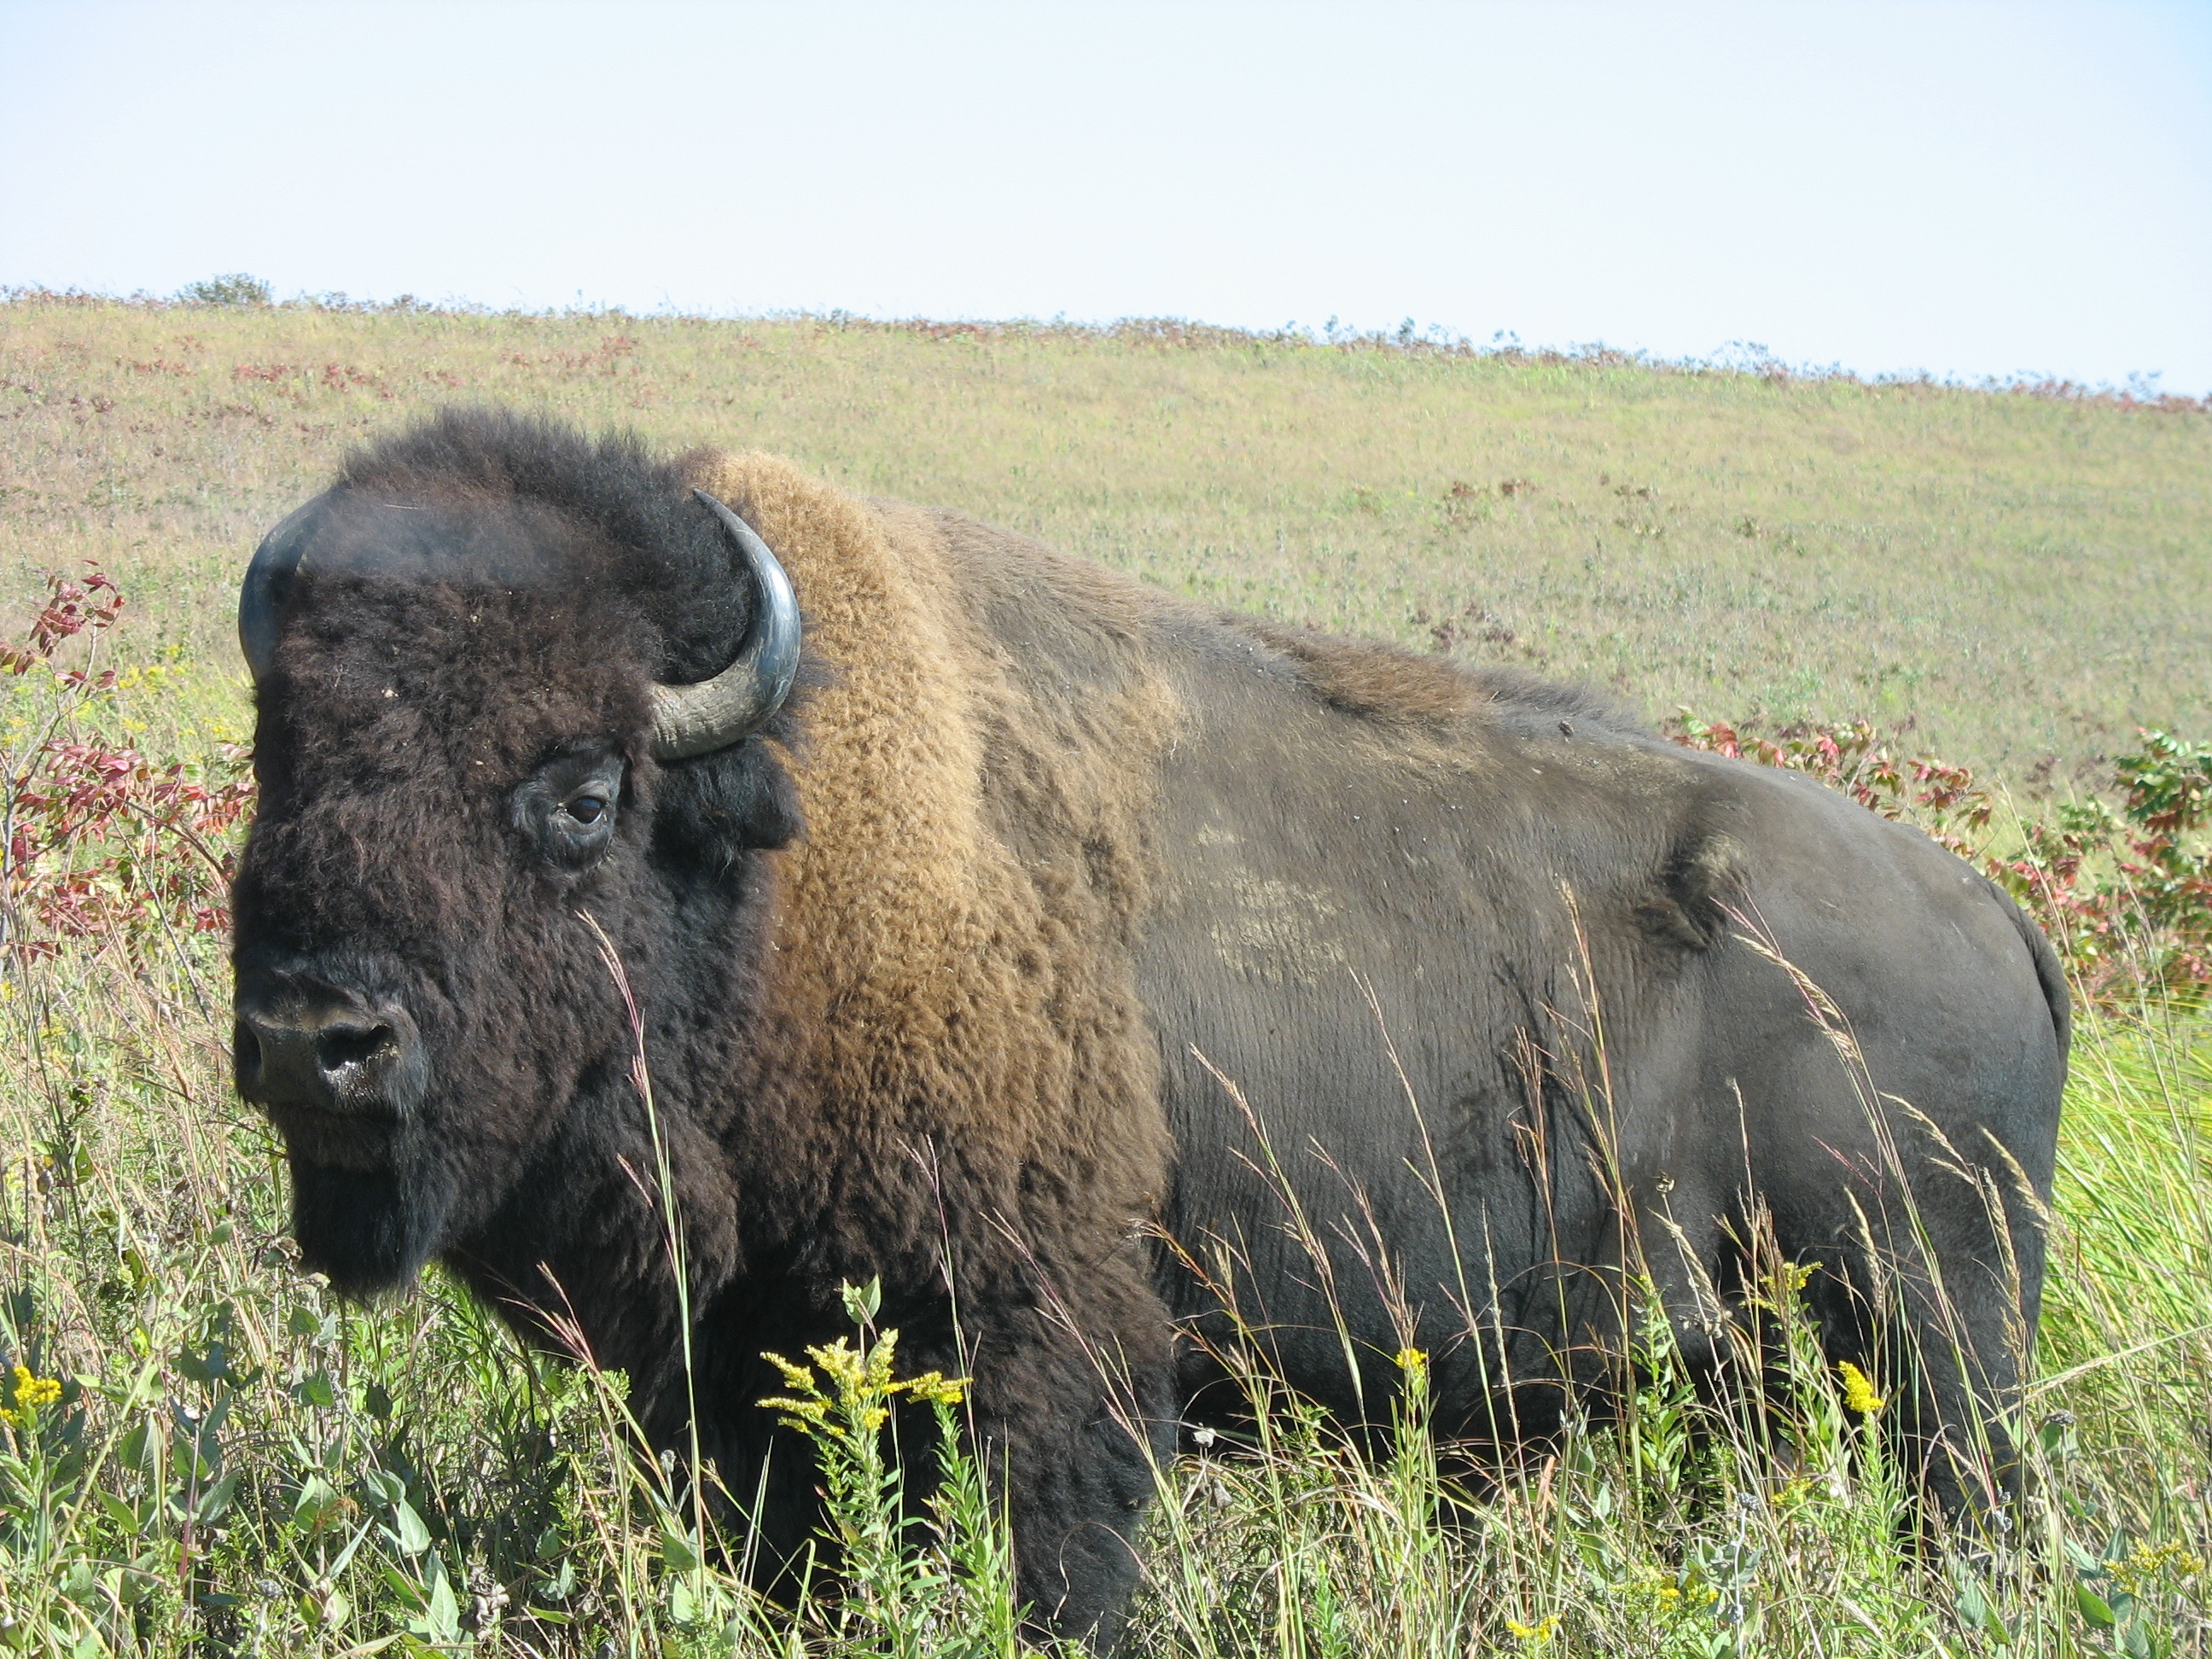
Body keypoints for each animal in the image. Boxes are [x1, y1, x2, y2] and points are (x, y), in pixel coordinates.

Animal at [232, 409, 2066, 1646]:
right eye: (283, 755)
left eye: (581, 789)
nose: (314, 1035)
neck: (779, 857)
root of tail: (1997, 916)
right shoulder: (746, 1370)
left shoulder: (1046, 1344)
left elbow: (1057, 1560)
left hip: (1924, 1338)